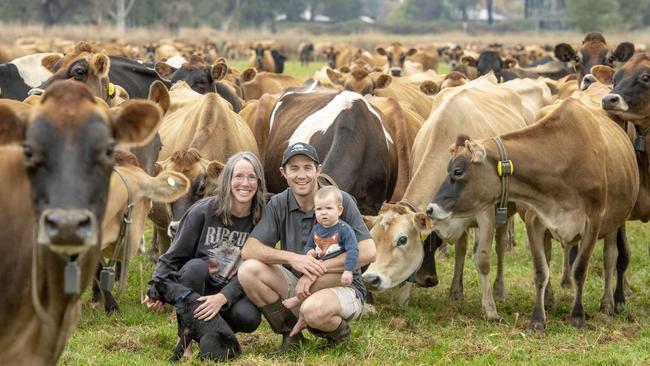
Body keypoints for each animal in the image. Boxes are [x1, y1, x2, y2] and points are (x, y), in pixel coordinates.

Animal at [362, 76, 540, 318]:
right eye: (373, 238)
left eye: (402, 239)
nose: (371, 279)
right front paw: (403, 298)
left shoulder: (486, 215)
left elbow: (483, 259)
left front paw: (490, 309)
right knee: (462, 250)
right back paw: (456, 291)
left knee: (500, 246)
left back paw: (499, 290)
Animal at [428, 91, 636, 328]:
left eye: (458, 171)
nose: (430, 208)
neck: (562, 157)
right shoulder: (534, 220)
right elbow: (540, 270)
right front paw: (537, 318)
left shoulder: (593, 221)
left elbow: (580, 270)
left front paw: (577, 316)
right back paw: (549, 300)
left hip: (614, 223)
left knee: (610, 257)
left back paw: (609, 303)